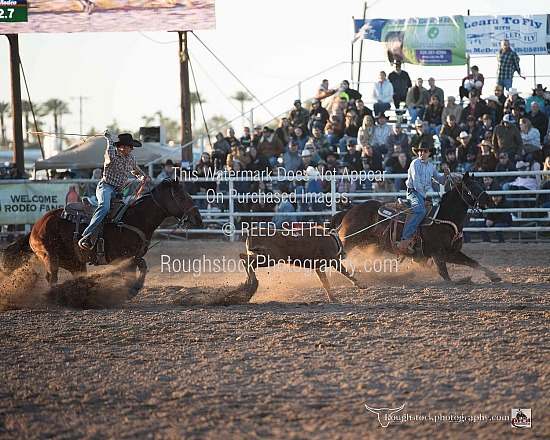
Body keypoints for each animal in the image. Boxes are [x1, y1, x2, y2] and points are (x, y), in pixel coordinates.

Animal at [1, 179, 204, 300]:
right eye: (182, 196)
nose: (199, 219)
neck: (134, 219)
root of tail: (37, 225)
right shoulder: (121, 258)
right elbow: (134, 271)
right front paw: (129, 291)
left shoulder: (133, 257)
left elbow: (142, 267)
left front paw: (133, 290)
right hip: (50, 255)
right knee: (52, 277)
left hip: (74, 261)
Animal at [336, 172, 504, 282]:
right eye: (471, 188)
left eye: (480, 184)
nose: (490, 201)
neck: (444, 217)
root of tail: (348, 212)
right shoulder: (438, 252)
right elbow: (444, 273)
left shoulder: (451, 252)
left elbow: (474, 263)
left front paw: (493, 276)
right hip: (349, 242)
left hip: (371, 246)